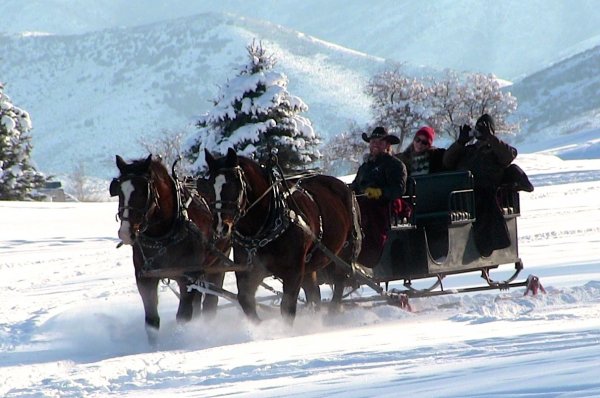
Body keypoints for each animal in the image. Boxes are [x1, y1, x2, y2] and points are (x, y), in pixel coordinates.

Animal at [110, 154, 230, 344]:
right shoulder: (145, 279)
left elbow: (183, 316)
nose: (125, 233)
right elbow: (152, 322)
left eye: (143, 192)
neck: (164, 233)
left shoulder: (187, 278)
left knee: (210, 304)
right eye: (119, 191)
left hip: (218, 262)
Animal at [204, 149, 360, 324]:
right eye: (209, 186)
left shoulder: (293, 272)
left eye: (233, 183)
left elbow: (287, 308)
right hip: (310, 267)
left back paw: (332, 315)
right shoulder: (250, 272)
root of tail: (344, 187)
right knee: (314, 293)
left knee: (339, 283)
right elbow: (246, 301)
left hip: (344, 253)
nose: (220, 226)